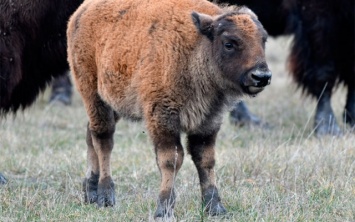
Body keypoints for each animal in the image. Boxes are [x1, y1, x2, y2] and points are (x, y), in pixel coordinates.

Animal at [68, 0, 272, 219]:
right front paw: (163, 210)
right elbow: (171, 160)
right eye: (229, 43)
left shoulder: (208, 122)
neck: (196, 46)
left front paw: (215, 208)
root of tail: (82, 11)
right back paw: (106, 196)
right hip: (94, 96)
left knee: (90, 135)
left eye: (263, 40)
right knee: (104, 140)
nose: (261, 76)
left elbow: (205, 159)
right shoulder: (162, 119)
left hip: (113, 103)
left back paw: (90, 192)